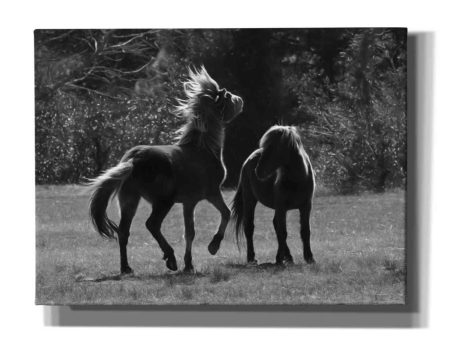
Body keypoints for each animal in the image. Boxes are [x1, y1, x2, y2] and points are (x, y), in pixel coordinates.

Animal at [87, 66, 243, 274]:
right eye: (228, 96)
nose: (240, 100)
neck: (203, 148)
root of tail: (134, 159)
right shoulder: (212, 193)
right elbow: (226, 214)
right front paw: (213, 246)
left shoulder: (189, 202)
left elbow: (189, 232)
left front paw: (189, 264)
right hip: (162, 202)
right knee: (152, 224)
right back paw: (170, 258)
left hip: (130, 201)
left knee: (124, 232)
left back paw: (126, 267)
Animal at [232, 125, 316, 266]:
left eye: (273, 147)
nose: (258, 171)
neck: (298, 179)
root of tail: (248, 159)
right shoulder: (282, 207)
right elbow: (283, 232)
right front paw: (279, 259)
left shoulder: (306, 206)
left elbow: (305, 231)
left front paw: (309, 257)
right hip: (250, 199)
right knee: (249, 227)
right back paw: (252, 258)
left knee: (276, 224)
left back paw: (289, 257)